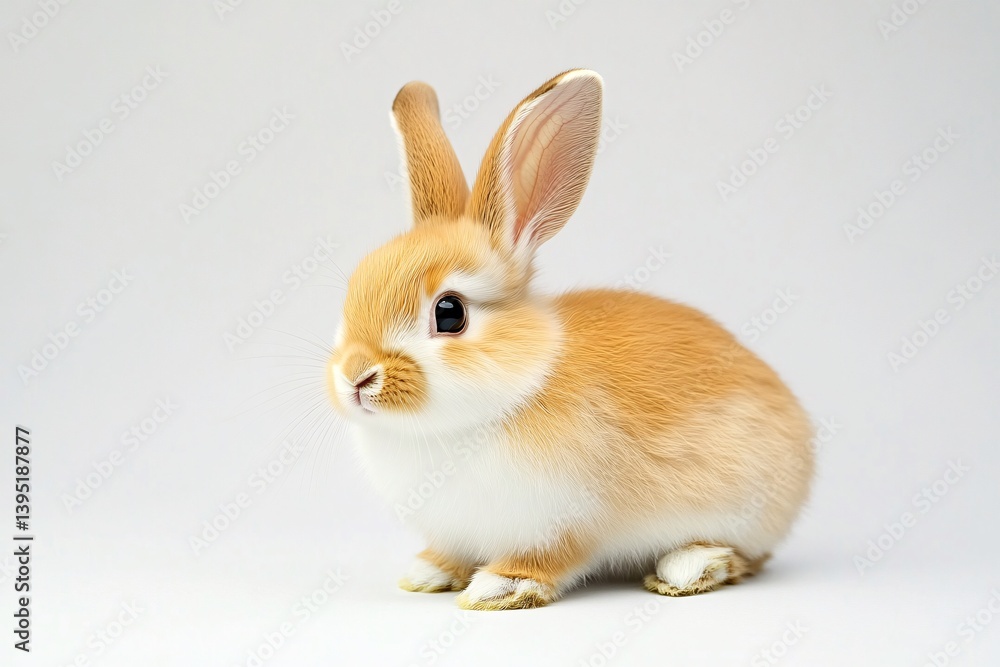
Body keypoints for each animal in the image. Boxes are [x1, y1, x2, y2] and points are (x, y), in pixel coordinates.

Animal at [326, 69, 814, 610]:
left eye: (449, 314)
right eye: (352, 294)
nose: (355, 377)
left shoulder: (565, 521)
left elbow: (548, 559)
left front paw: (500, 588)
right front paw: (428, 573)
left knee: (748, 558)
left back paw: (689, 567)